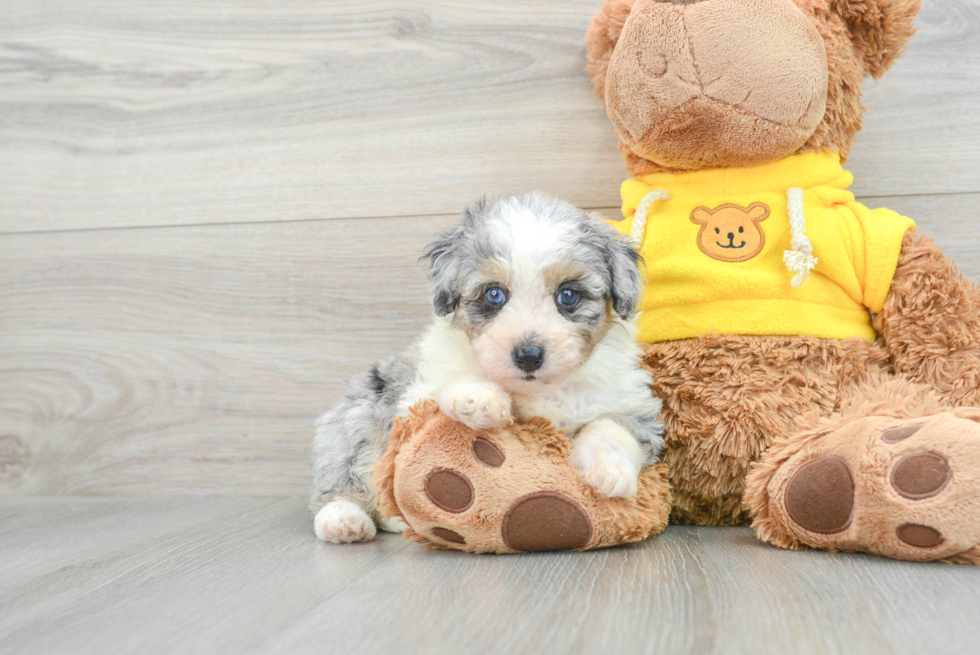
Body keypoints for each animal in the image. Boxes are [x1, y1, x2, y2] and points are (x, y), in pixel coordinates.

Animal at [312, 191, 668, 544]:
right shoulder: (413, 396)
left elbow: (613, 426)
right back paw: (344, 520)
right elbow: (451, 379)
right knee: (340, 481)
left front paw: (609, 469)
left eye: (568, 295)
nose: (528, 355)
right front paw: (480, 399)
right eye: (494, 294)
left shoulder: (631, 404)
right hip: (356, 421)